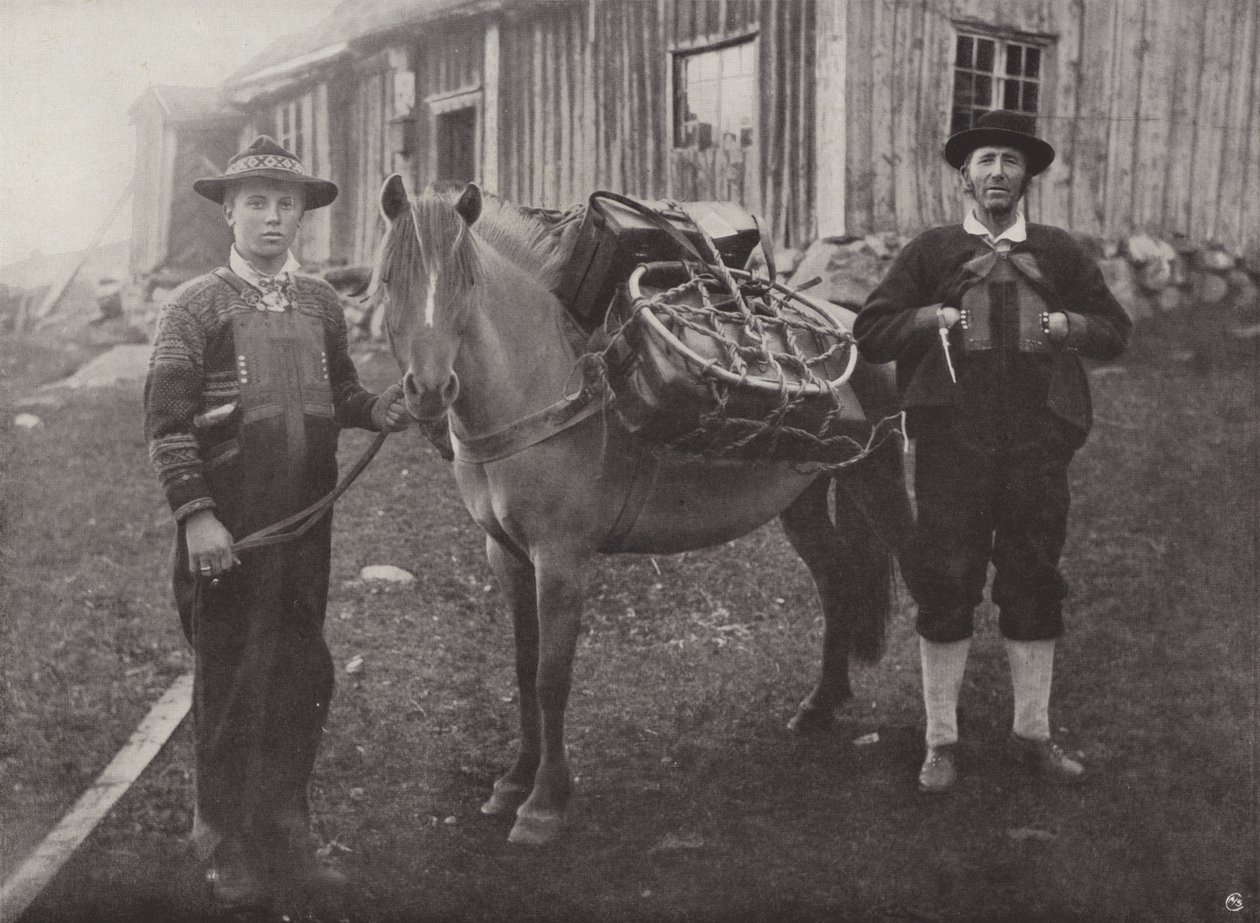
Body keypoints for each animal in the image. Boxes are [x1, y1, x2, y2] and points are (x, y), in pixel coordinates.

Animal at [367, 176, 912, 846]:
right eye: (388, 280)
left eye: (467, 283)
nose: (428, 392)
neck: (543, 384)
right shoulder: (507, 556)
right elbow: (523, 670)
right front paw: (514, 782)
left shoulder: (562, 561)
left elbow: (551, 678)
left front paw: (545, 802)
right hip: (804, 501)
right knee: (837, 581)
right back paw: (819, 706)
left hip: (878, 480)